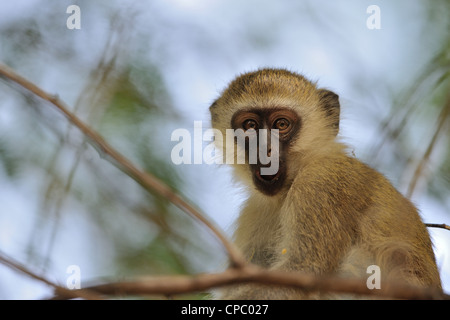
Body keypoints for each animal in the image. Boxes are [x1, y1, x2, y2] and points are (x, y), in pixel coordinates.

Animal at [209, 68, 442, 300]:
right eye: (250, 126)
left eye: (281, 124)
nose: (264, 149)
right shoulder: (253, 212)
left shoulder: (320, 182)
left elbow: (304, 271)